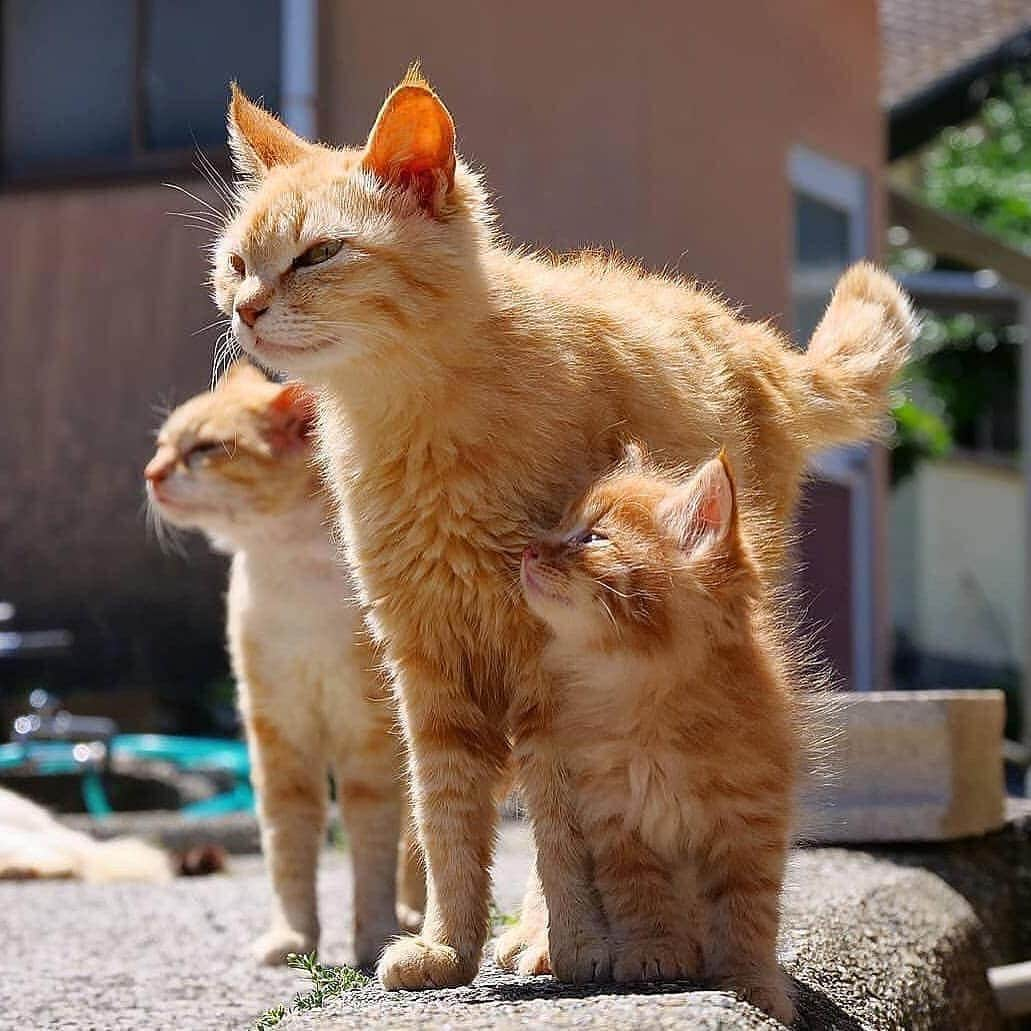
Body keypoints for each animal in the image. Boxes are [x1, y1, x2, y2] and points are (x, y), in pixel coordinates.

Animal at [144, 362, 422, 965]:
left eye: (204, 449)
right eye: (162, 446)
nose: (150, 473)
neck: (293, 576)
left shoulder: (366, 733)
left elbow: (371, 847)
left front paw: (374, 938)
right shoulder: (277, 731)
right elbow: (288, 843)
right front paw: (292, 940)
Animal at [523, 449, 795, 1022]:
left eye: (592, 537)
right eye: (558, 525)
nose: (529, 548)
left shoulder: (751, 824)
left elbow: (747, 916)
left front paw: (752, 985)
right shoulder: (614, 821)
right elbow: (639, 896)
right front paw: (654, 953)